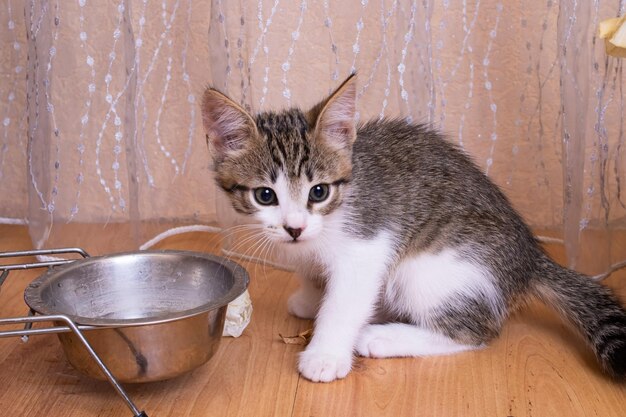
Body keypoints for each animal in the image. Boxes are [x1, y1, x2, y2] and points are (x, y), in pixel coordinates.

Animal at [201, 74, 624, 380]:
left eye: (318, 191)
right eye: (265, 196)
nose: (294, 228)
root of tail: (531, 258)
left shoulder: (369, 244)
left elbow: (345, 301)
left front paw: (325, 354)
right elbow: (311, 269)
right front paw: (309, 297)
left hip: (429, 269)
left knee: (476, 332)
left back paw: (382, 337)